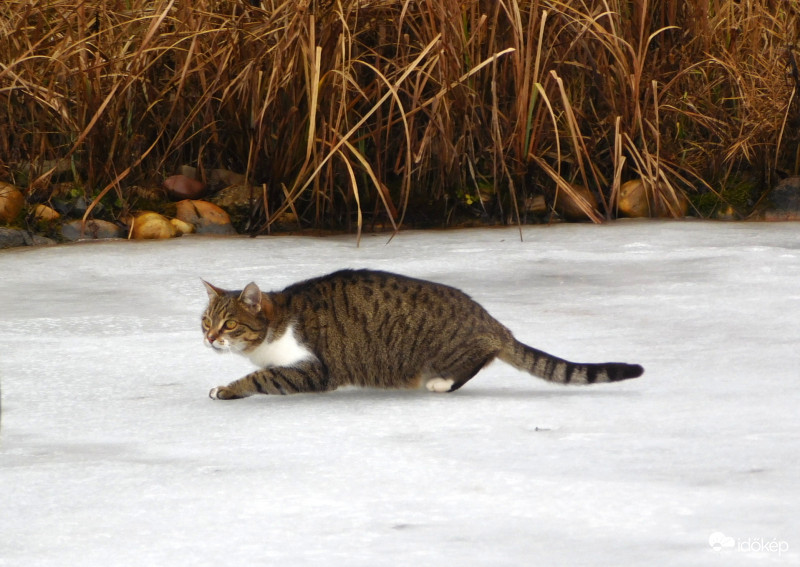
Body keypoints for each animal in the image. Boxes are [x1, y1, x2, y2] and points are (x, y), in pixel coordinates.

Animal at [202, 270, 644, 400]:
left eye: (229, 324)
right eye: (205, 322)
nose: (208, 339)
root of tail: (491, 321)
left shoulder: (313, 369)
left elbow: (262, 377)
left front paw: (227, 389)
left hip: (451, 348)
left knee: (475, 362)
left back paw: (440, 382)